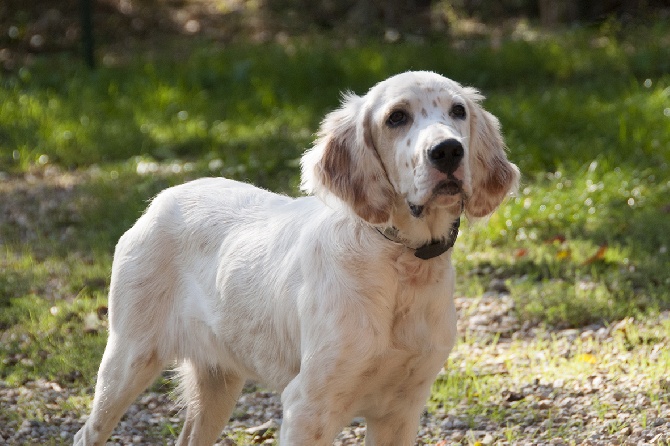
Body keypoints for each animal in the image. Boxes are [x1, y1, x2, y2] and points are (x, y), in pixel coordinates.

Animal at [73, 71, 520, 444]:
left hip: (218, 381)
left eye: (458, 111)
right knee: (86, 433)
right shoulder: (308, 406)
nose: (447, 151)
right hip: (128, 359)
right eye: (397, 117)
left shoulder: (401, 411)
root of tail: (160, 199)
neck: (399, 263)